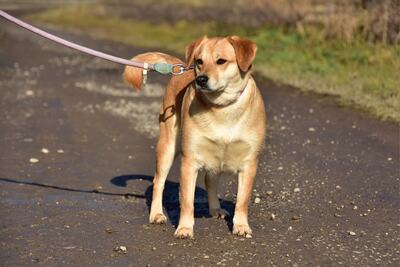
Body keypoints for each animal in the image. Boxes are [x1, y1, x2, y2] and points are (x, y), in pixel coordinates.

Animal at [122, 35, 266, 239]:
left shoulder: (249, 163)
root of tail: (182, 67)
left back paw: (215, 209)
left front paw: (241, 225)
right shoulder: (189, 161)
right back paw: (157, 214)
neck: (222, 108)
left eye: (221, 61)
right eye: (199, 61)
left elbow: (242, 200)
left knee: (210, 181)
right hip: (167, 147)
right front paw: (184, 227)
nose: (201, 79)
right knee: (159, 182)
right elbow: (187, 201)